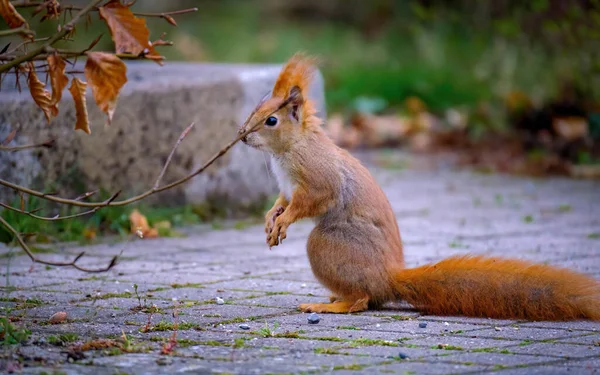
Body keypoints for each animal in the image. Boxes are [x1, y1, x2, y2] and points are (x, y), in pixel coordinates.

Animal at [239, 53, 600, 324]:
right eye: (255, 107)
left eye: (271, 120)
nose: (242, 135)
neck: (288, 149)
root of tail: (387, 279)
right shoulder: (287, 188)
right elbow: (282, 201)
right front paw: (271, 220)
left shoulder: (317, 177)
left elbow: (309, 201)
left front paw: (284, 221)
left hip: (328, 246)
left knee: (361, 300)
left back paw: (332, 304)